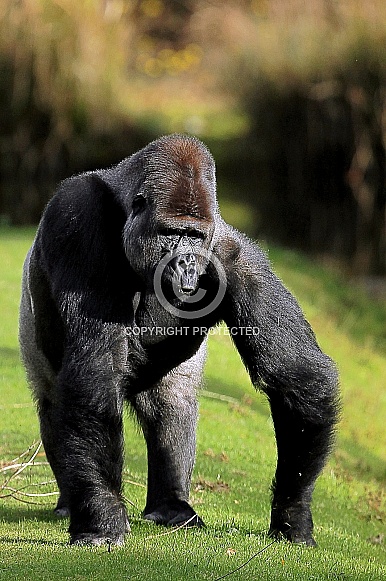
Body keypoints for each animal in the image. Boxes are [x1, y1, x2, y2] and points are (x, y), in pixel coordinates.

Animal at [18, 134, 338, 548]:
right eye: (172, 233)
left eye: (194, 237)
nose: (186, 264)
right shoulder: (77, 217)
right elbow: (96, 370)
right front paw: (102, 516)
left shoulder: (237, 257)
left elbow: (294, 376)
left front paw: (292, 513)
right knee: (53, 398)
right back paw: (72, 502)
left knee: (173, 404)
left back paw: (170, 505)